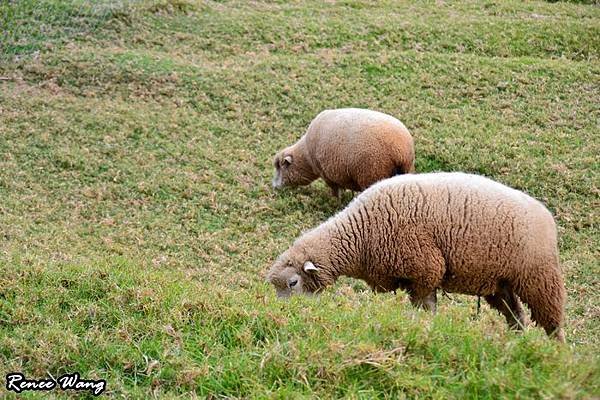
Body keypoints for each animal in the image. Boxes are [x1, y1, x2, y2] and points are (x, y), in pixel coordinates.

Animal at [268, 172, 568, 340]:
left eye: (293, 282)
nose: (284, 314)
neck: (362, 234)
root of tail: (546, 215)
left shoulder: (426, 269)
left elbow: (425, 307)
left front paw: (423, 327)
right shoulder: (417, 276)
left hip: (539, 277)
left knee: (552, 320)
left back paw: (556, 352)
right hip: (500, 282)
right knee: (516, 316)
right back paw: (517, 342)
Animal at [272, 108, 412, 197]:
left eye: (280, 167)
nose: (274, 186)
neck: (306, 158)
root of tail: (400, 151)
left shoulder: (326, 173)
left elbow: (335, 191)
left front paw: (335, 201)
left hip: (373, 172)